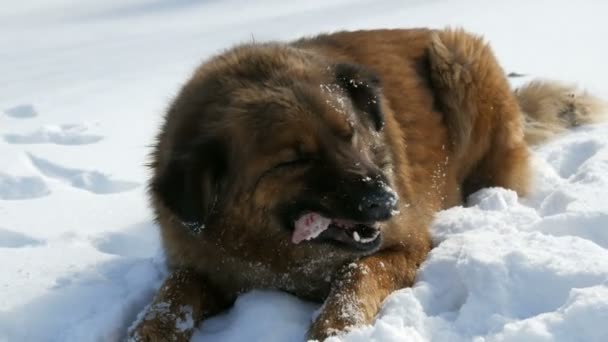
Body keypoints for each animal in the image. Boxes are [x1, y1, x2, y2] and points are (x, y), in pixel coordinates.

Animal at [127, 28, 604, 340]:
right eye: (295, 159)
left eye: (350, 134)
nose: (386, 201)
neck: (274, 252)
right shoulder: (203, 261)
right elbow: (171, 295)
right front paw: (147, 331)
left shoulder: (404, 244)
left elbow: (357, 271)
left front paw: (335, 327)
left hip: (459, 57)